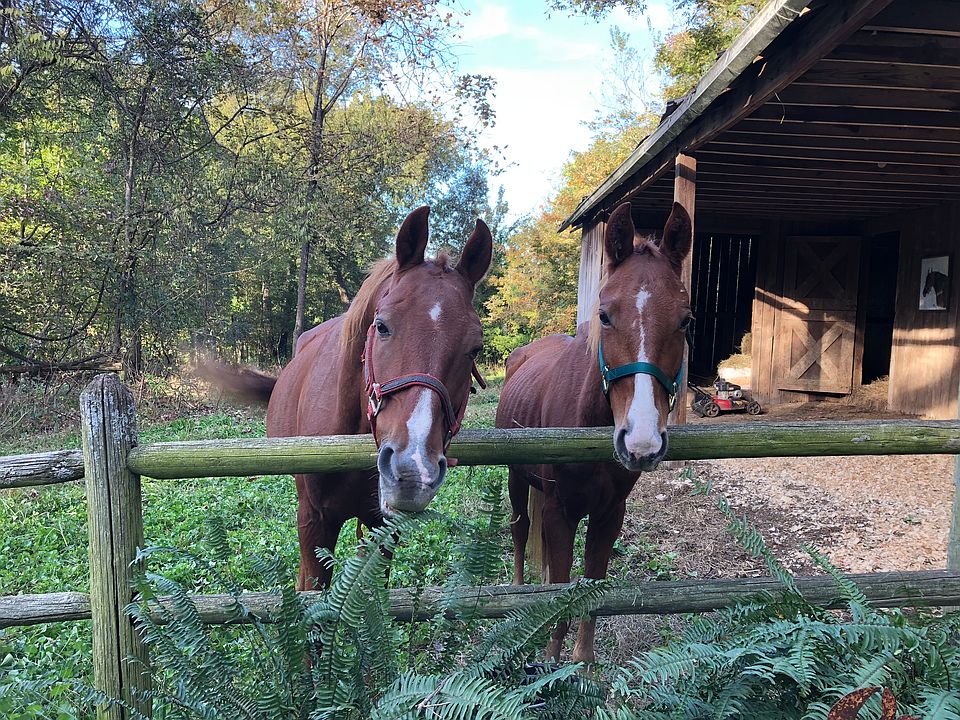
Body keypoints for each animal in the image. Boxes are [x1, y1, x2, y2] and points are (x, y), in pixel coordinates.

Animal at [494, 201, 692, 663]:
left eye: (685, 321)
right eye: (605, 315)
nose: (641, 441)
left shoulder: (608, 514)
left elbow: (590, 592)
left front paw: (582, 666)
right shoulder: (559, 511)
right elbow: (560, 593)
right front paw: (551, 662)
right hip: (516, 478)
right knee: (519, 529)